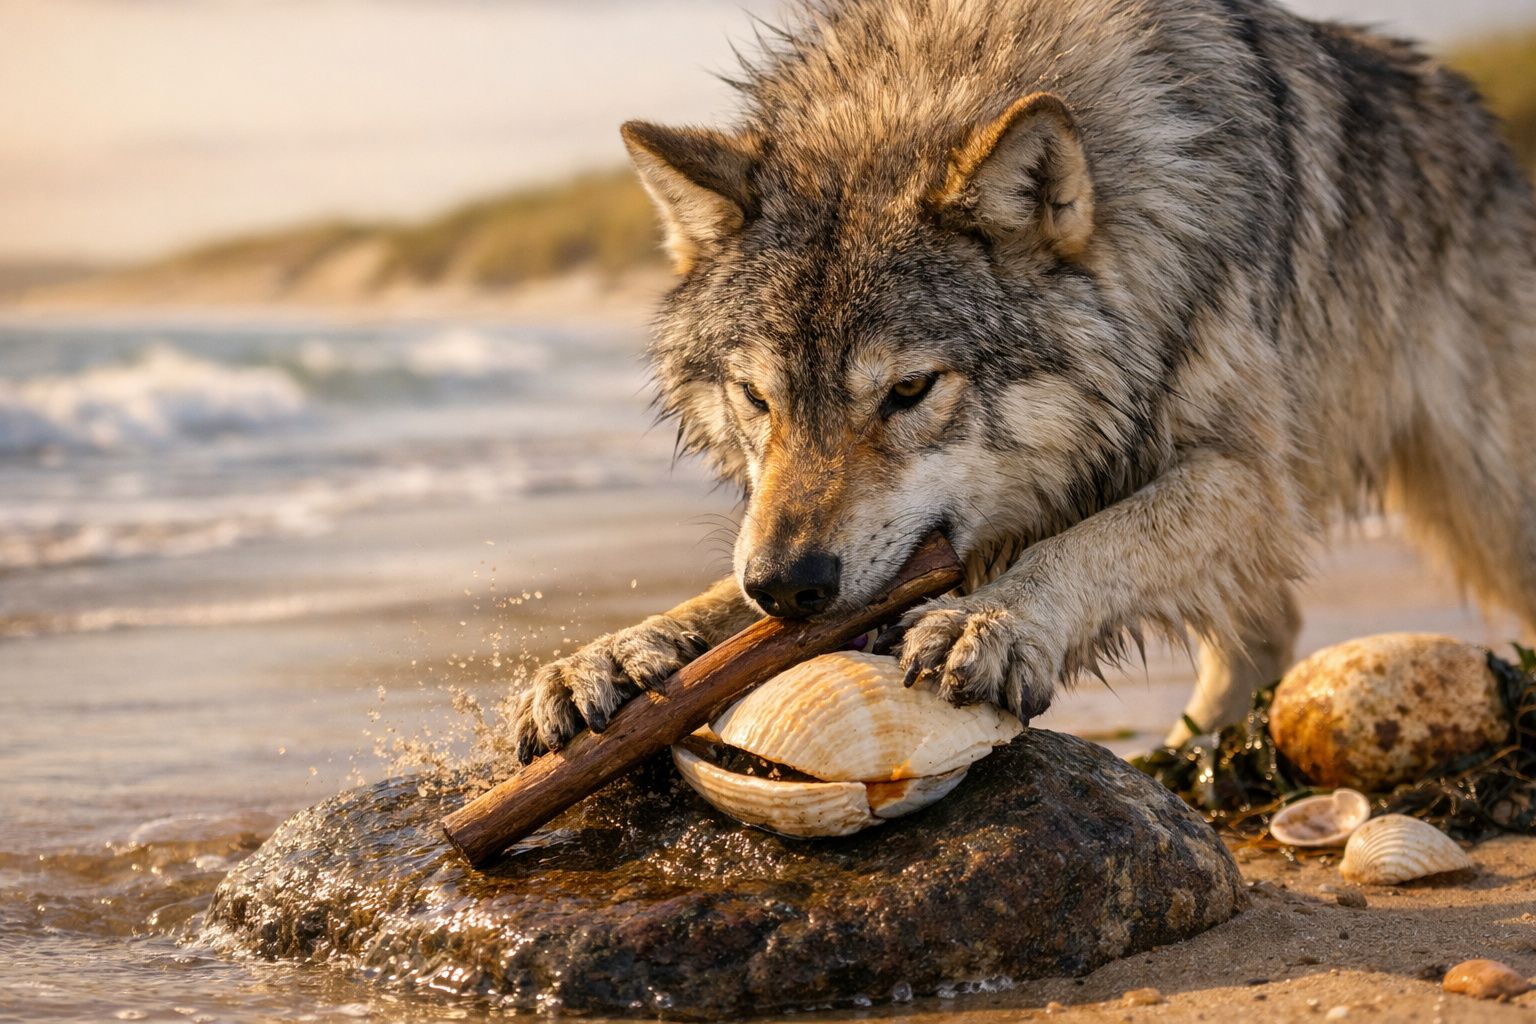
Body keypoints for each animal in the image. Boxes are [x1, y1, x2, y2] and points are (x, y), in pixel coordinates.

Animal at [511, 0, 1536, 762]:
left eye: (910, 392)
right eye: (758, 399)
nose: (789, 587)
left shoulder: (1248, 475)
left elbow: (1097, 542)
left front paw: (991, 621)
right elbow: (715, 608)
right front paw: (619, 652)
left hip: (1487, 518)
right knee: (1271, 628)